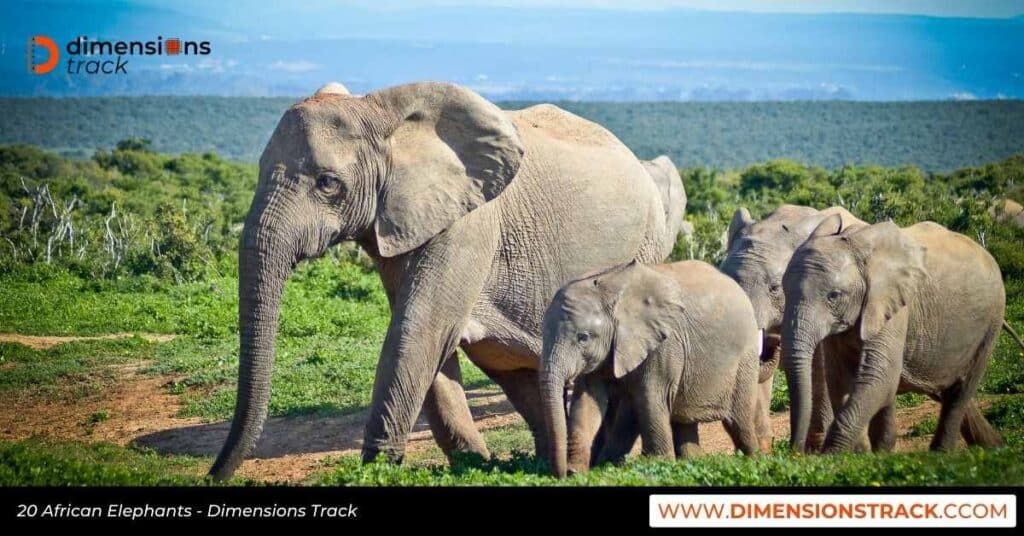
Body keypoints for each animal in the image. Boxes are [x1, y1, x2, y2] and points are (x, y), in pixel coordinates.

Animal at [208, 81, 675, 479]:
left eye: (327, 183)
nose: (214, 475)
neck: (379, 112)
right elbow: (424, 334)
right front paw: (475, 464)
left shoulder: (469, 223)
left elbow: (419, 328)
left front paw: (376, 470)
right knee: (511, 364)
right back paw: (547, 462)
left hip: (648, 242)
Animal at [540, 260, 765, 477]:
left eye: (583, 338)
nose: (560, 474)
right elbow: (587, 401)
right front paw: (577, 471)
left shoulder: (664, 345)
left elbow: (650, 397)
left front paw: (657, 464)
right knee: (683, 420)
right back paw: (692, 462)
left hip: (745, 359)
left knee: (737, 421)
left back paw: (755, 461)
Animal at [782, 218, 1007, 452]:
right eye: (783, 290)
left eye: (833, 296)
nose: (796, 452)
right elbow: (841, 379)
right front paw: (861, 454)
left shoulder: (893, 305)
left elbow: (880, 376)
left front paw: (833, 456)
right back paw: (993, 446)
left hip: (991, 321)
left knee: (960, 391)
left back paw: (943, 452)